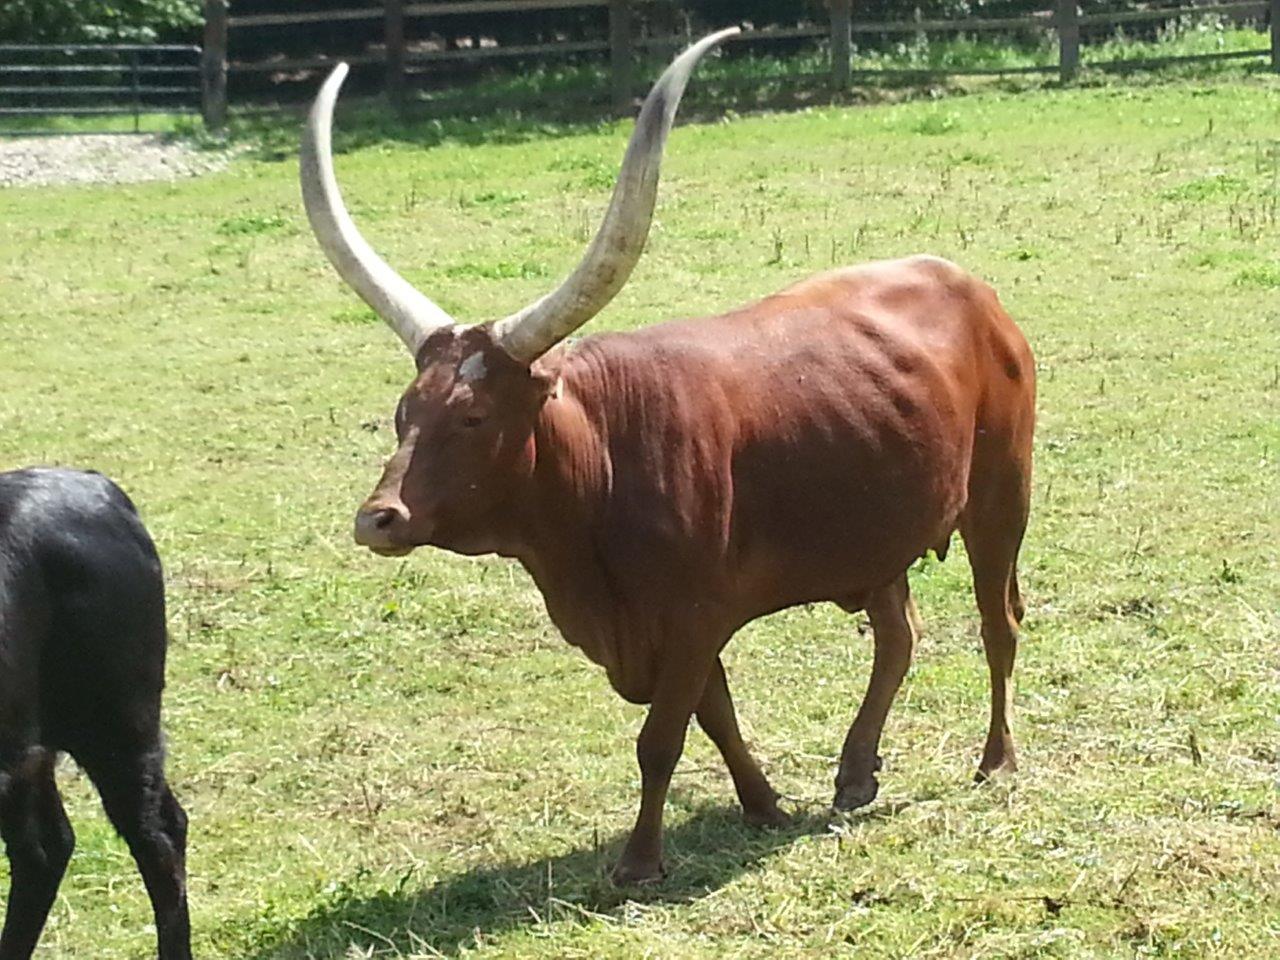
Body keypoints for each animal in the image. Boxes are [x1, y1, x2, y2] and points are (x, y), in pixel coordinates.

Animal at [304, 28, 1034, 885]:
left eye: (475, 415)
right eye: (403, 413)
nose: (378, 519)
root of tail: (969, 287)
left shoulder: (691, 616)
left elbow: (661, 737)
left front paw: (639, 863)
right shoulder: (674, 626)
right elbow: (713, 716)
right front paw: (763, 805)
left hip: (1001, 497)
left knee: (998, 621)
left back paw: (995, 760)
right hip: (877, 529)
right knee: (899, 634)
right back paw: (856, 772)